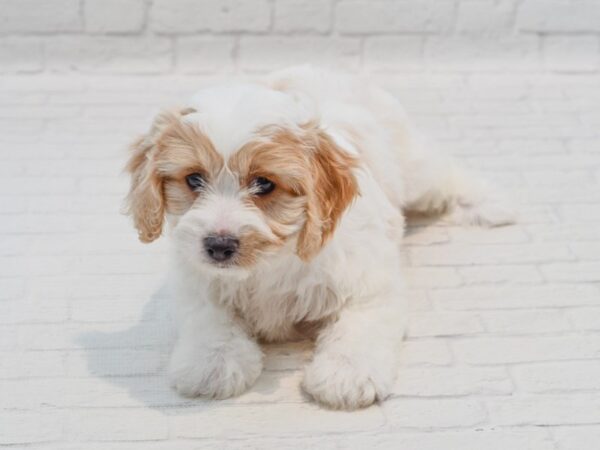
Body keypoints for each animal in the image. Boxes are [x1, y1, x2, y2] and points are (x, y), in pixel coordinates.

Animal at [124, 67, 512, 412]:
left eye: (264, 183)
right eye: (194, 179)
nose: (219, 246)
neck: (271, 263)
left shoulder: (371, 285)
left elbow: (360, 325)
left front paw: (347, 374)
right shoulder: (194, 277)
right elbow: (208, 315)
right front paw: (212, 362)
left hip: (418, 173)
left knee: (445, 172)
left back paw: (492, 203)